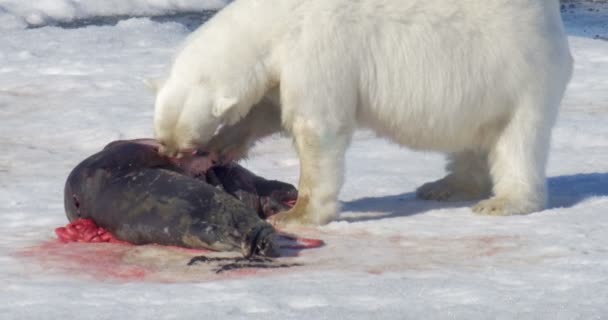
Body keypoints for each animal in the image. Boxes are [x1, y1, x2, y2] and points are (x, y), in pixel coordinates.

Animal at [152, 0, 568, 225]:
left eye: (183, 139)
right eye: (160, 131)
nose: (166, 151)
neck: (276, 17)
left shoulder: (317, 48)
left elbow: (316, 128)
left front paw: (297, 215)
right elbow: (267, 110)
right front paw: (223, 146)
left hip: (515, 72)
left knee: (517, 142)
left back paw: (503, 202)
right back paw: (445, 185)